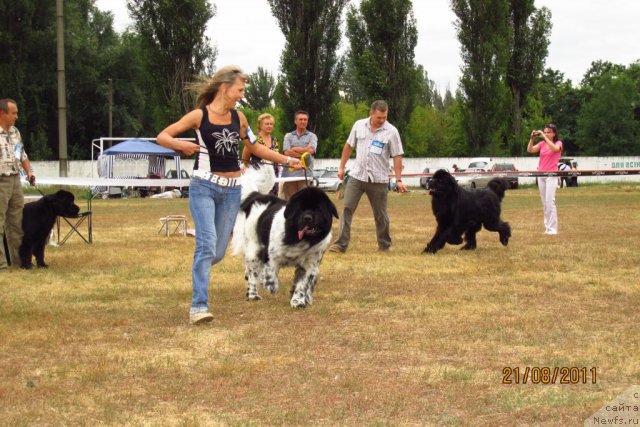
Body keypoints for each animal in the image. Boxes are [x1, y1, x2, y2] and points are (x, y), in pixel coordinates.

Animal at [232, 164, 338, 308]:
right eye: (300, 209)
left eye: (318, 210)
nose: (307, 218)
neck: (299, 239)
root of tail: (257, 195)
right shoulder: (270, 255)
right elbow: (270, 273)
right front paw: (271, 285)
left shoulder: (310, 264)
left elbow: (303, 284)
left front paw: (298, 301)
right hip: (253, 247)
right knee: (252, 272)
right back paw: (253, 295)